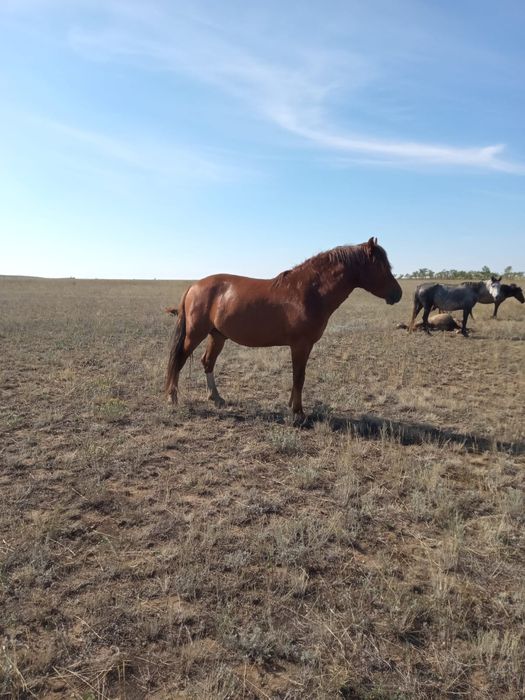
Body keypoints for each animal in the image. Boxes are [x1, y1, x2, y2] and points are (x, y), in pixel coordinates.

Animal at [165, 237, 402, 424]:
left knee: (207, 362)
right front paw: (298, 413)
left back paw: (216, 398)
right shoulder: (300, 345)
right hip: (195, 334)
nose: (398, 294)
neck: (308, 291)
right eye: (381, 266)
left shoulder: (304, 346)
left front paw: (293, 407)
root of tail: (194, 286)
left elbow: (298, 377)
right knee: (179, 359)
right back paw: (172, 398)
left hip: (218, 335)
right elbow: (299, 377)